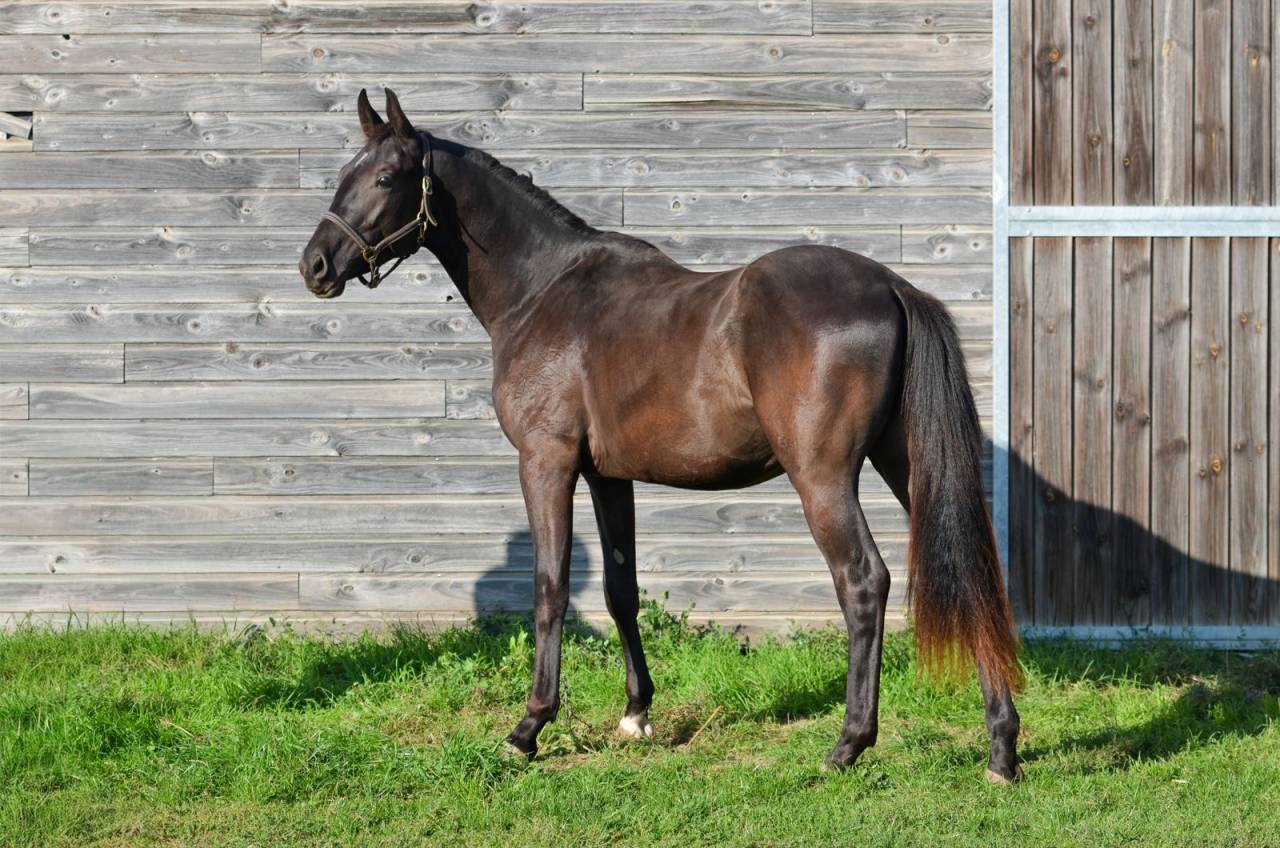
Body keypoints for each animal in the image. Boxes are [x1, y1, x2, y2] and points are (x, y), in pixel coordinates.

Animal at [300, 89, 1023, 783]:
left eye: (386, 177)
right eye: (345, 174)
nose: (315, 265)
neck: (542, 290)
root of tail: (893, 287)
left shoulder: (546, 462)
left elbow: (550, 588)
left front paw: (529, 728)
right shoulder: (607, 475)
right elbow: (621, 590)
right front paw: (635, 713)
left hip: (822, 477)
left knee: (864, 581)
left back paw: (849, 745)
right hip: (906, 464)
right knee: (970, 573)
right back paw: (1001, 747)